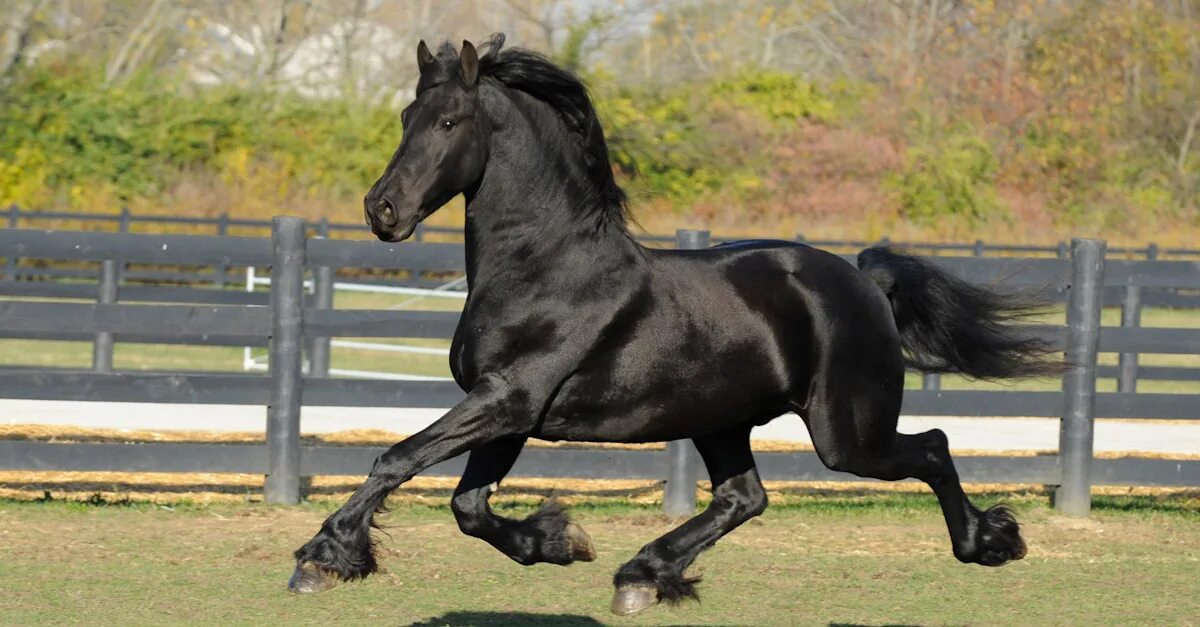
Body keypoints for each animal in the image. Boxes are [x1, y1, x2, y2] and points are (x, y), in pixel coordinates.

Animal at [290, 35, 1060, 614]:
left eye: (449, 122)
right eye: (405, 117)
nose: (382, 210)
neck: (543, 267)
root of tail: (865, 282)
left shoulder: (508, 399)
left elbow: (397, 459)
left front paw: (322, 557)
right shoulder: (506, 411)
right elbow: (468, 506)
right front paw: (559, 543)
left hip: (846, 434)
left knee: (931, 446)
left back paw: (989, 543)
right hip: (723, 420)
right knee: (745, 498)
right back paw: (642, 574)